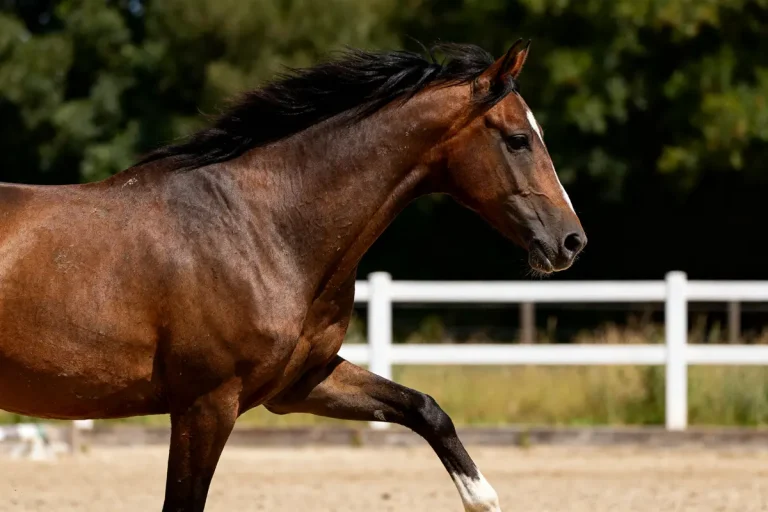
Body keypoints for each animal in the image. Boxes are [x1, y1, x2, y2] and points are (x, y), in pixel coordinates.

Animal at [0, 39, 585, 511]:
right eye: (518, 139)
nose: (571, 242)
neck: (264, 228)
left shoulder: (300, 382)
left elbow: (425, 408)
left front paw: (482, 498)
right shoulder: (206, 405)